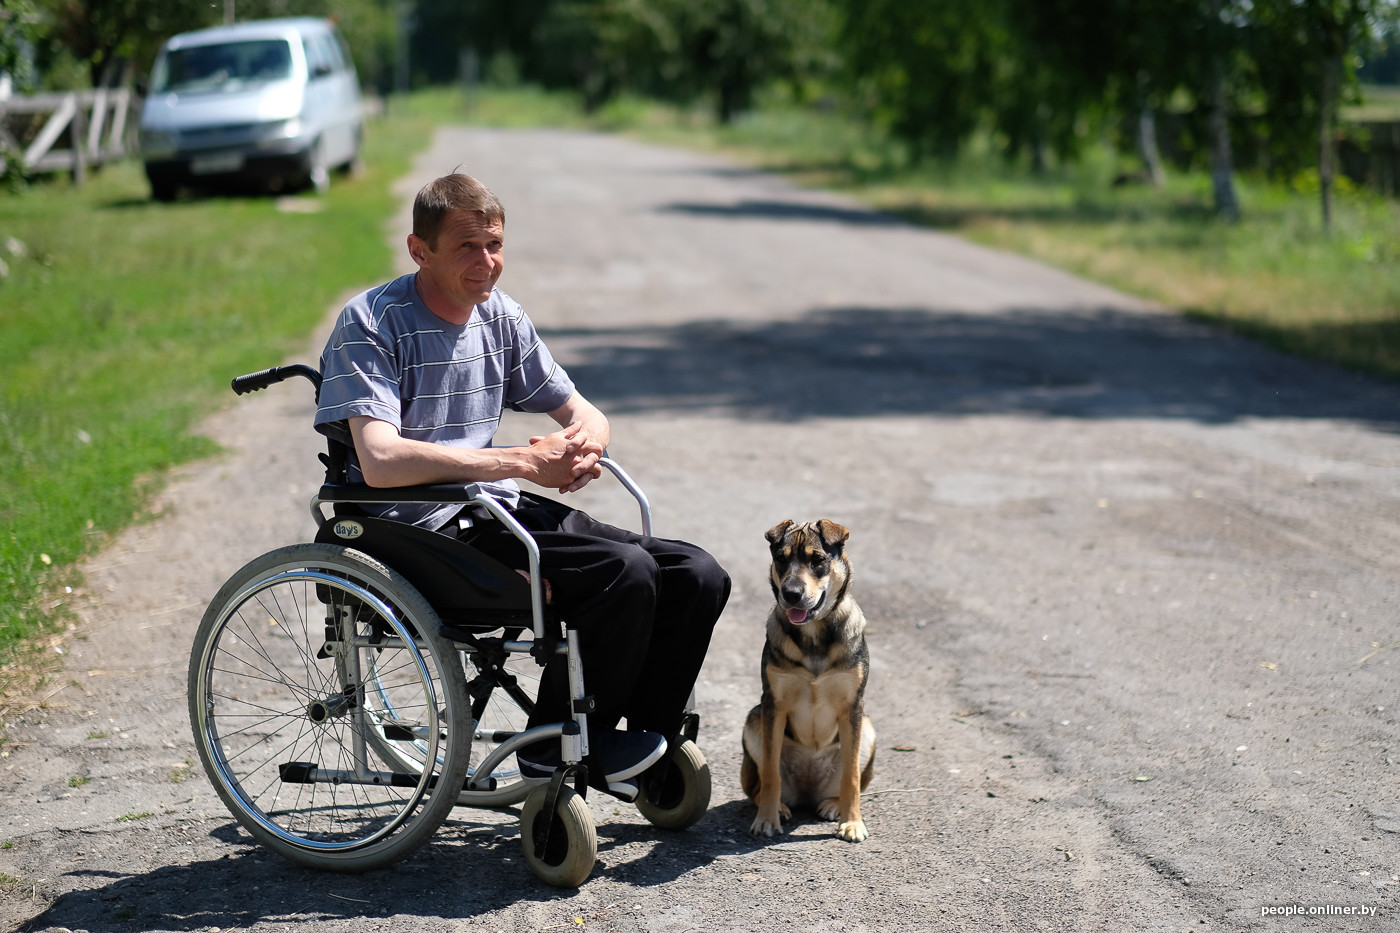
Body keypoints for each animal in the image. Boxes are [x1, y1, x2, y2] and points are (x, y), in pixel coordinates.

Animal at [739, 518, 868, 840]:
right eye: (781, 559)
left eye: (818, 560)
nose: (791, 594)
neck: (813, 634)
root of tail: (808, 793)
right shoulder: (772, 704)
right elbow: (770, 773)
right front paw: (767, 819)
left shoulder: (854, 707)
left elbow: (851, 777)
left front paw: (853, 823)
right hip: (754, 719)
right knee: (759, 786)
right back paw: (780, 807)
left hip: (869, 728)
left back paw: (834, 805)